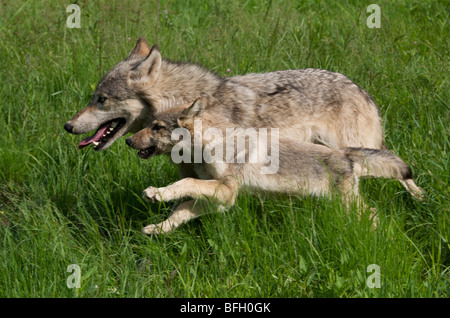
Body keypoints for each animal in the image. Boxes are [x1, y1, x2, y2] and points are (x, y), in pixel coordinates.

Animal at [125, 99, 422, 234]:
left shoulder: (227, 192)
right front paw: (158, 228)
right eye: (149, 124)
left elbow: (184, 183)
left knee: (374, 215)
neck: (208, 147)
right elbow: (181, 210)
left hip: (349, 206)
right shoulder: (221, 202)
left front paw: (157, 193)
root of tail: (346, 155)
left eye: (156, 127)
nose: (127, 140)